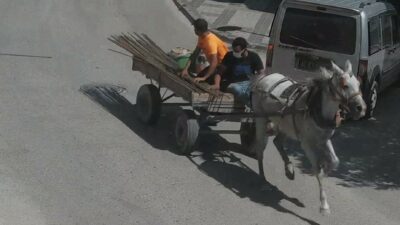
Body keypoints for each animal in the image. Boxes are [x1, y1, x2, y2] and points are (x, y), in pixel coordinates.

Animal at [252, 60, 368, 215]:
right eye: (345, 86)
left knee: (278, 142)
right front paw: (324, 205)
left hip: (286, 124)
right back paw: (263, 180)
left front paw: (326, 169)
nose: (361, 108)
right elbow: (317, 170)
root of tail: (265, 78)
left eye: (359, 84)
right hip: (260, 118)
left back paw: (289, 169)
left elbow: (334, 161)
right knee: (260, 149)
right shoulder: (307, 144)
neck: (315, 108)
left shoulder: (324, 140)